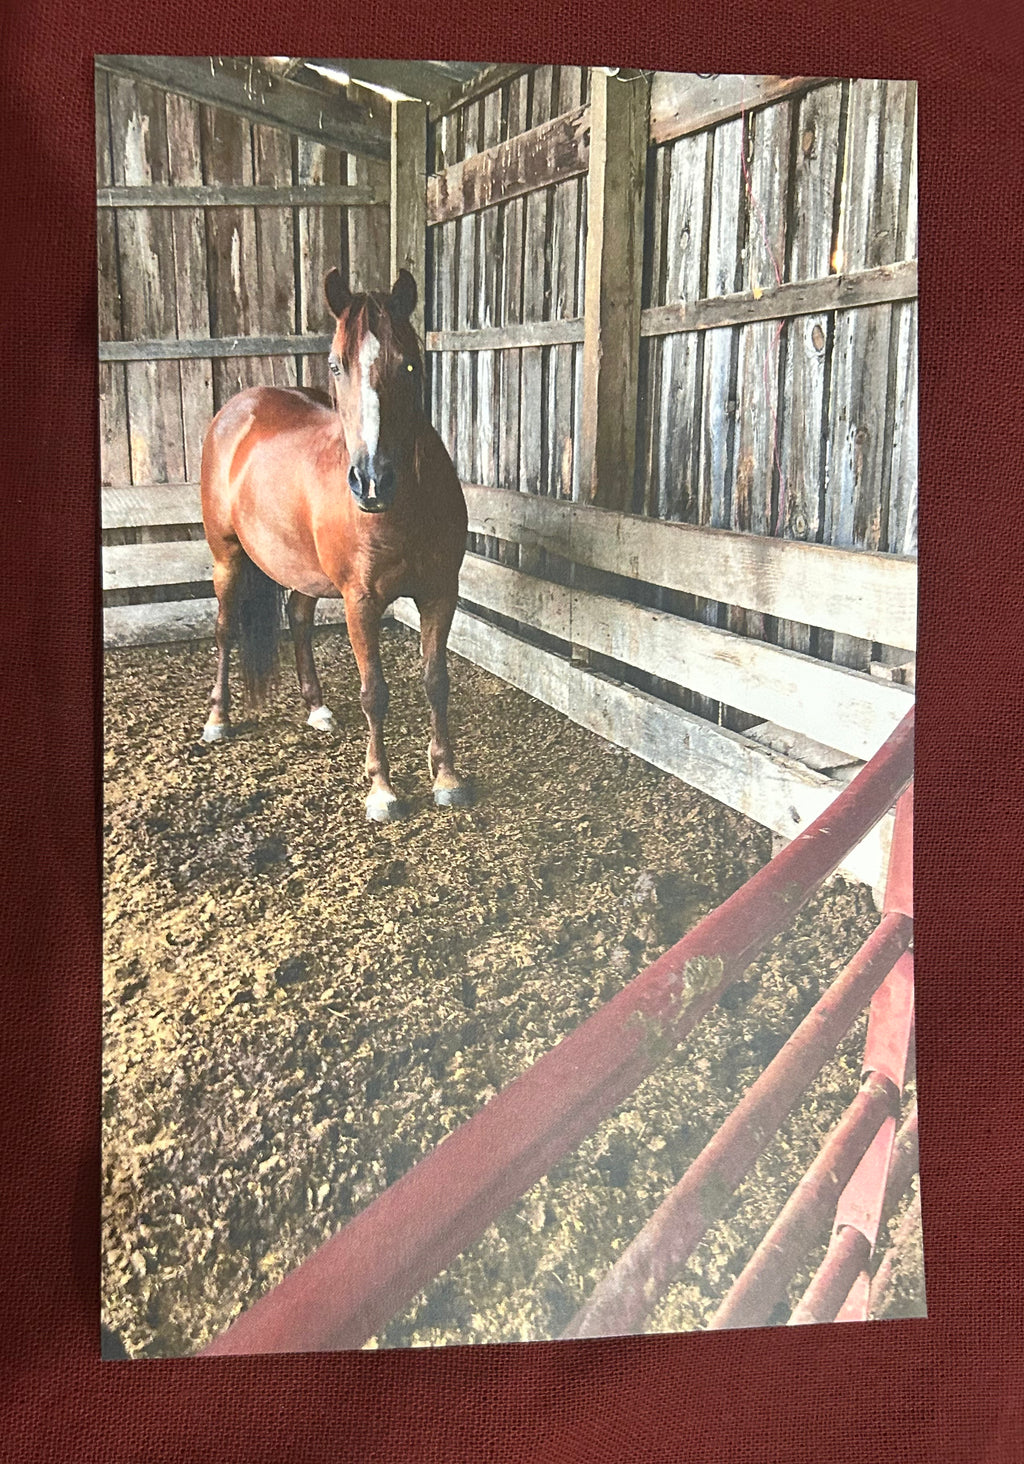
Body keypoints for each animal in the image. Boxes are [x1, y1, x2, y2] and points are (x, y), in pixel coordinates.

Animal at [198, 268, 473, 822]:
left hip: (302, 569)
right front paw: (383, 790)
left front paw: (447, 777)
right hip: (226, 558)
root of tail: (238, 409)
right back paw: (218, 718)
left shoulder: (439, 594)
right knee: (224, 630)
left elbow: (436, 680)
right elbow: (375, 693)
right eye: (335, 365)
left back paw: (317, 708)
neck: (402, 507)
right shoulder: (359, 603)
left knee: (299, 619)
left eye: (409, 362)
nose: (371, 482)